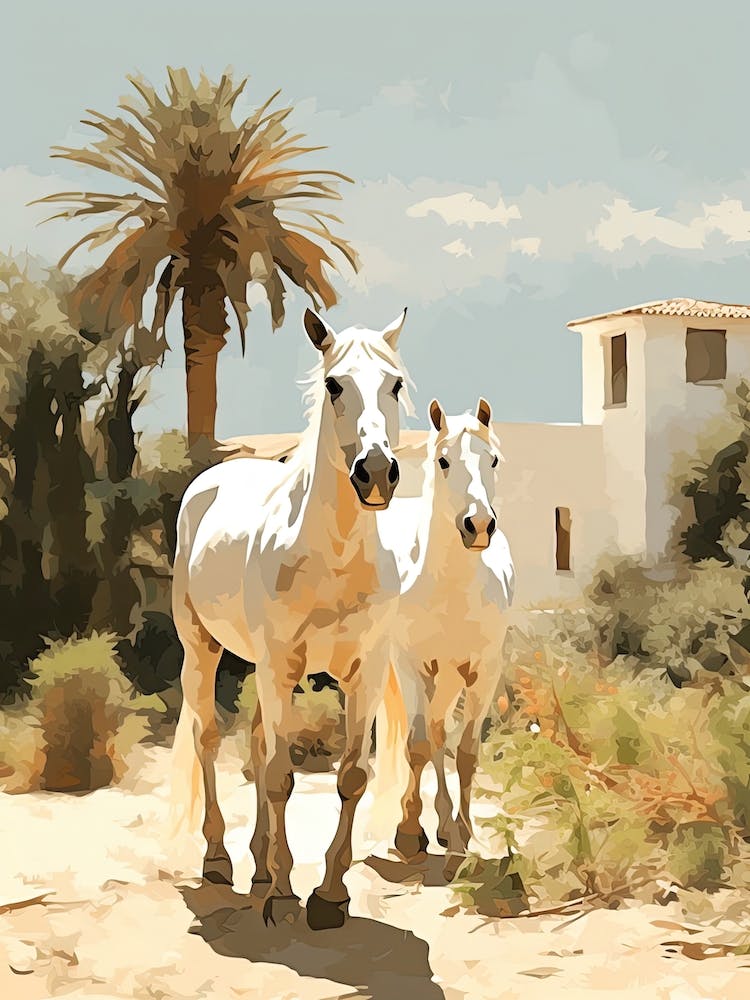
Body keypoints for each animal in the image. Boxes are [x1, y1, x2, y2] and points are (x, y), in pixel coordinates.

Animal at [170, 307, 411, 930]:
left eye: (396, 384)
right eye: (334, 385)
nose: (377, 472)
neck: (332, 555)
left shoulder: (363, 674)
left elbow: (349, 777)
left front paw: (328, 894)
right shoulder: (281, 669)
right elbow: (281, 776)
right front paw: (282, 893)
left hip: (260, 670)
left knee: (257, 746)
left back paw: (258, 865)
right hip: (204, 649)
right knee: (210, 740)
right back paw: (220, 860)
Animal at [373, 397, 514, 879]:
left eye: (493, 459)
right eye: (443, 460)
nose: (479, 525)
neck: (450, 588)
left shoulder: (484, 672)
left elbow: (466, 752)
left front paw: (463, 834)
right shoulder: (410, 665)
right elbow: (416, 747)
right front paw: (409, 832)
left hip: (451, 679)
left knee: (440, 734)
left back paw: (447, 825)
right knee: (426, 737)